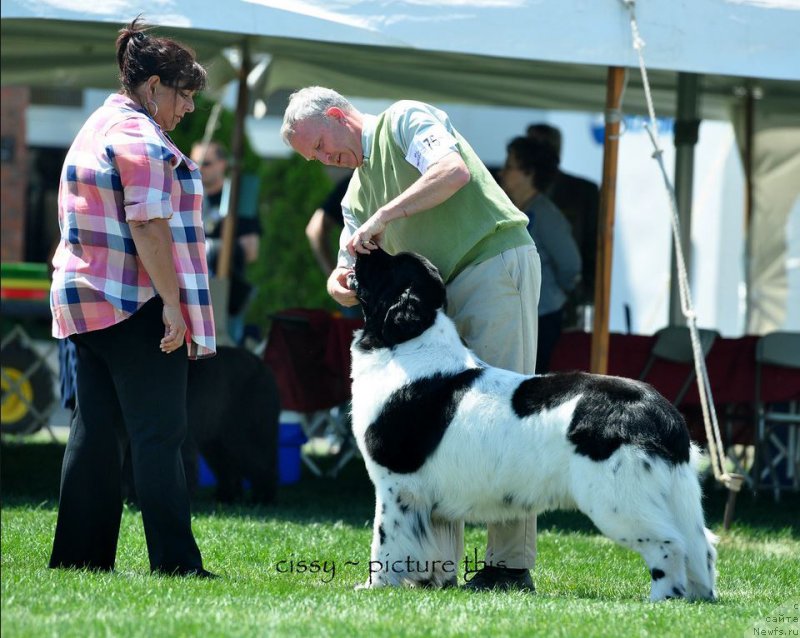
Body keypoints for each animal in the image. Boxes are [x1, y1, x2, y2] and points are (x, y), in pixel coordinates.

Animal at [350, 248, 720, 604]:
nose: (362, 247)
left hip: (617, 499)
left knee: (670, 544)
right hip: (673, 496)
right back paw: (700, 598)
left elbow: (385, 541)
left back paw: (662, 599)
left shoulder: (396, 484)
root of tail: (660, 409)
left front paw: (373, 586)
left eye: (389, 264)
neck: (408, 342)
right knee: (702, 546)